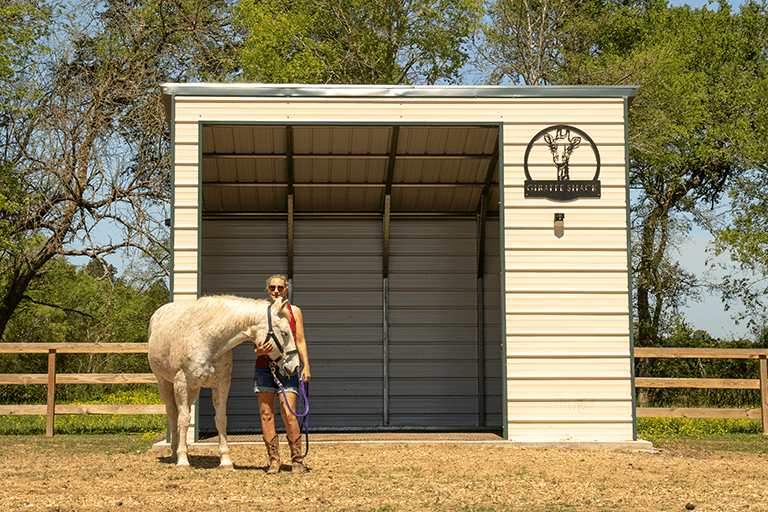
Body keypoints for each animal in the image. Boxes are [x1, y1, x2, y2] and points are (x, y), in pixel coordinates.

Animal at [148, 295, 299, 469]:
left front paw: (226, 460)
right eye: (285, 333)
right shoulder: (182, 383)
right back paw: (174, 453)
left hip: (193, 390)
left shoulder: (222, 385)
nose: (295, 367)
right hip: (165, 383)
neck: (207, 340)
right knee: (172, 414)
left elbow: (220, 420)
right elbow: (184, 420)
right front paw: (183, 461)